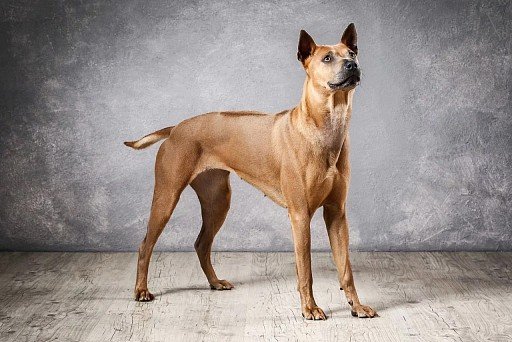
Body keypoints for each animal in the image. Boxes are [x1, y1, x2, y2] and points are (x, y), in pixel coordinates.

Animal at [125, 22, 376, 320]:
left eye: (352, 53)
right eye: (327, 58)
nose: (352, 65)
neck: (325, 128)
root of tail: (176, 128)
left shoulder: (337, 214)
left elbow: (346, 268)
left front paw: (357, 305)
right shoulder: (300, 215)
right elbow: (305, 269)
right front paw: (310, 308)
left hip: (218, 201)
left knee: (201, 244)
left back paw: (215, 282)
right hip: (166, 196)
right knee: (146, 244)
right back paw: (141, 290)